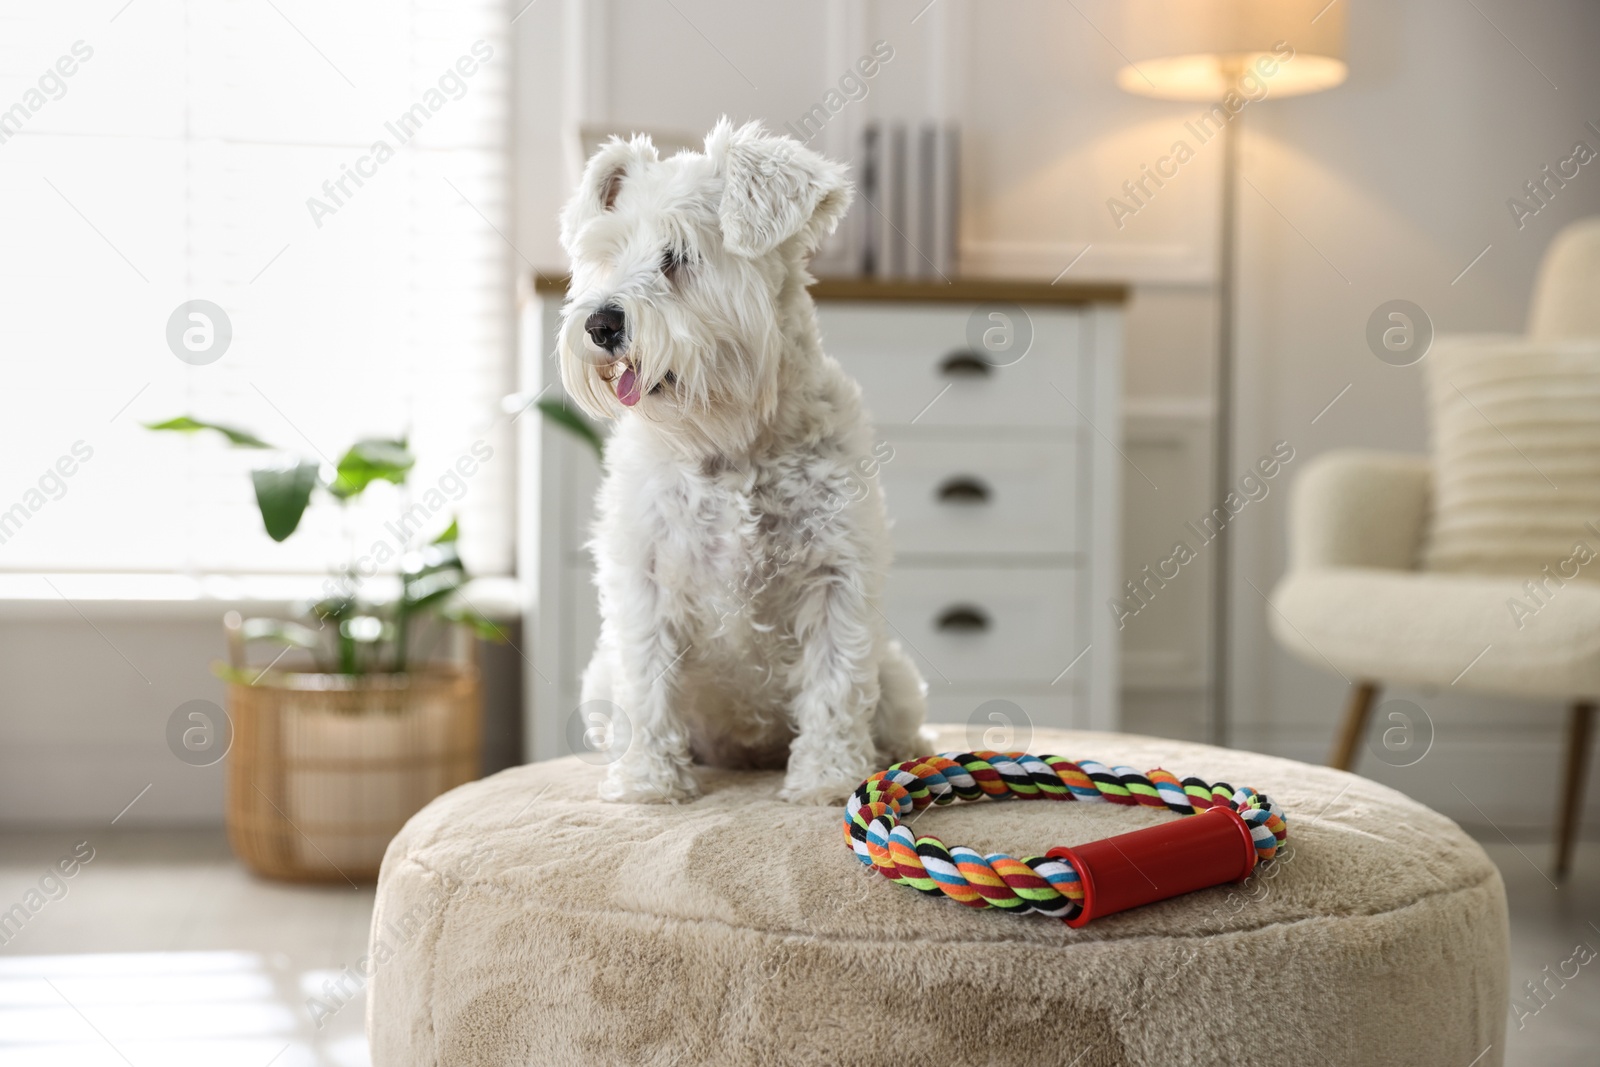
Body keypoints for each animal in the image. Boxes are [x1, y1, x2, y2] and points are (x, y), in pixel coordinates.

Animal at [560, 119, 928, 799]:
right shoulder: (646, 575)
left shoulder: (836, 573)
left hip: (894, 676)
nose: (600, 325)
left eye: (679, 257)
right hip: (599, 678)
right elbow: (648, 682)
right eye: (607, 254)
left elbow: (835, 683)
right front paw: (650, 783)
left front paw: (827, 780)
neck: (729, 440)